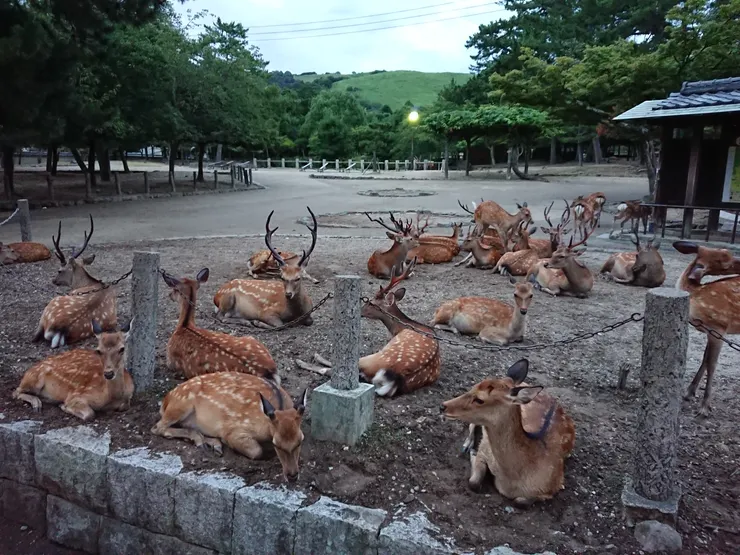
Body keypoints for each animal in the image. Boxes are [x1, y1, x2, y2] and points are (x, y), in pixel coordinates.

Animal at [32, 216, 118, 348]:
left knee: (36, 336)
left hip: (51, 305)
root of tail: (61, 328)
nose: (54, 280)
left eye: (59, 270)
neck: (88, 283)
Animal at [151, 372, 307, 482]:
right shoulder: (233, 430)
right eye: (277, 444)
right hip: (181, 404)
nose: (293, 476)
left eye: (300, 441)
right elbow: (257, 451)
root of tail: (165, 400)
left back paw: (213, 444)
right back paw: (202, 441)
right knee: (157, 428)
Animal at [441, 359, 575, 506]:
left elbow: (520, 501)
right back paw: (467, 445)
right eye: (473, 387)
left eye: (480, 399)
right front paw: (472, 452)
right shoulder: (485, 448)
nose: (443, 406)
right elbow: (473, 483)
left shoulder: (555, 485)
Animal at [673, 241, 740, 416]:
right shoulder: (712, 330)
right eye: (725, 259)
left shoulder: (720, 325)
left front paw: (704, 407)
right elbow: (705, 359)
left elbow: (712, 364)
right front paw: (689, 393)